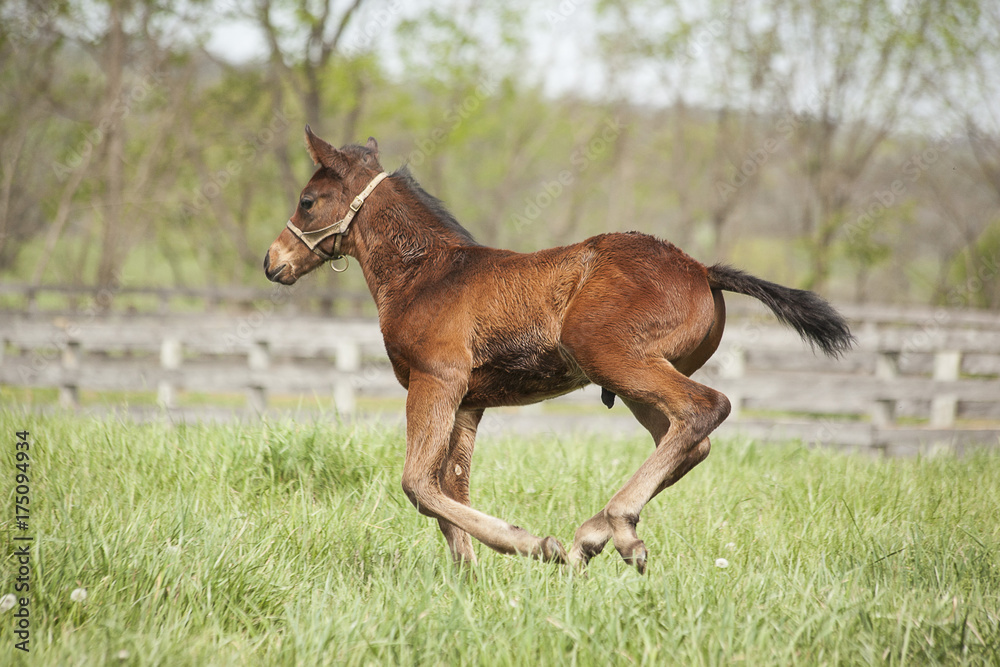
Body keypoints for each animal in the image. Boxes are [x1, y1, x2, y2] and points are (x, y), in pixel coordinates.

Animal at [264, 127, 854, 573]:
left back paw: (616, 529)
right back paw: (591, 537)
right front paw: (467, 578)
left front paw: (530, 545)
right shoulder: (469, 401)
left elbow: (418, 483)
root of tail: (702, 270)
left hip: (608, 353)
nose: (273, 262)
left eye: (308, 201)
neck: (425, 275)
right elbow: (451, 486)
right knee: (689, 439)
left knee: (705, 408)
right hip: (630, 377)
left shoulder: (436, 380)